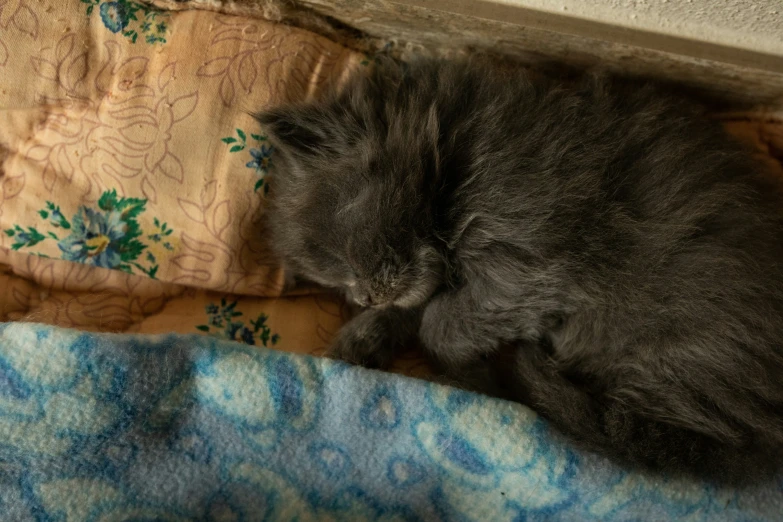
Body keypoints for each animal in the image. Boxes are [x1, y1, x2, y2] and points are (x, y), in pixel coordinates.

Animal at [256, 58, 783, 484]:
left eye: (341, 258)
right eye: (334, 281)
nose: (361, 298)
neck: (455, 146)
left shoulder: (530, 265)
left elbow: (439, 324)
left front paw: (456, 361)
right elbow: (421, 307)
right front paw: (361, 338)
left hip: (675, 343)